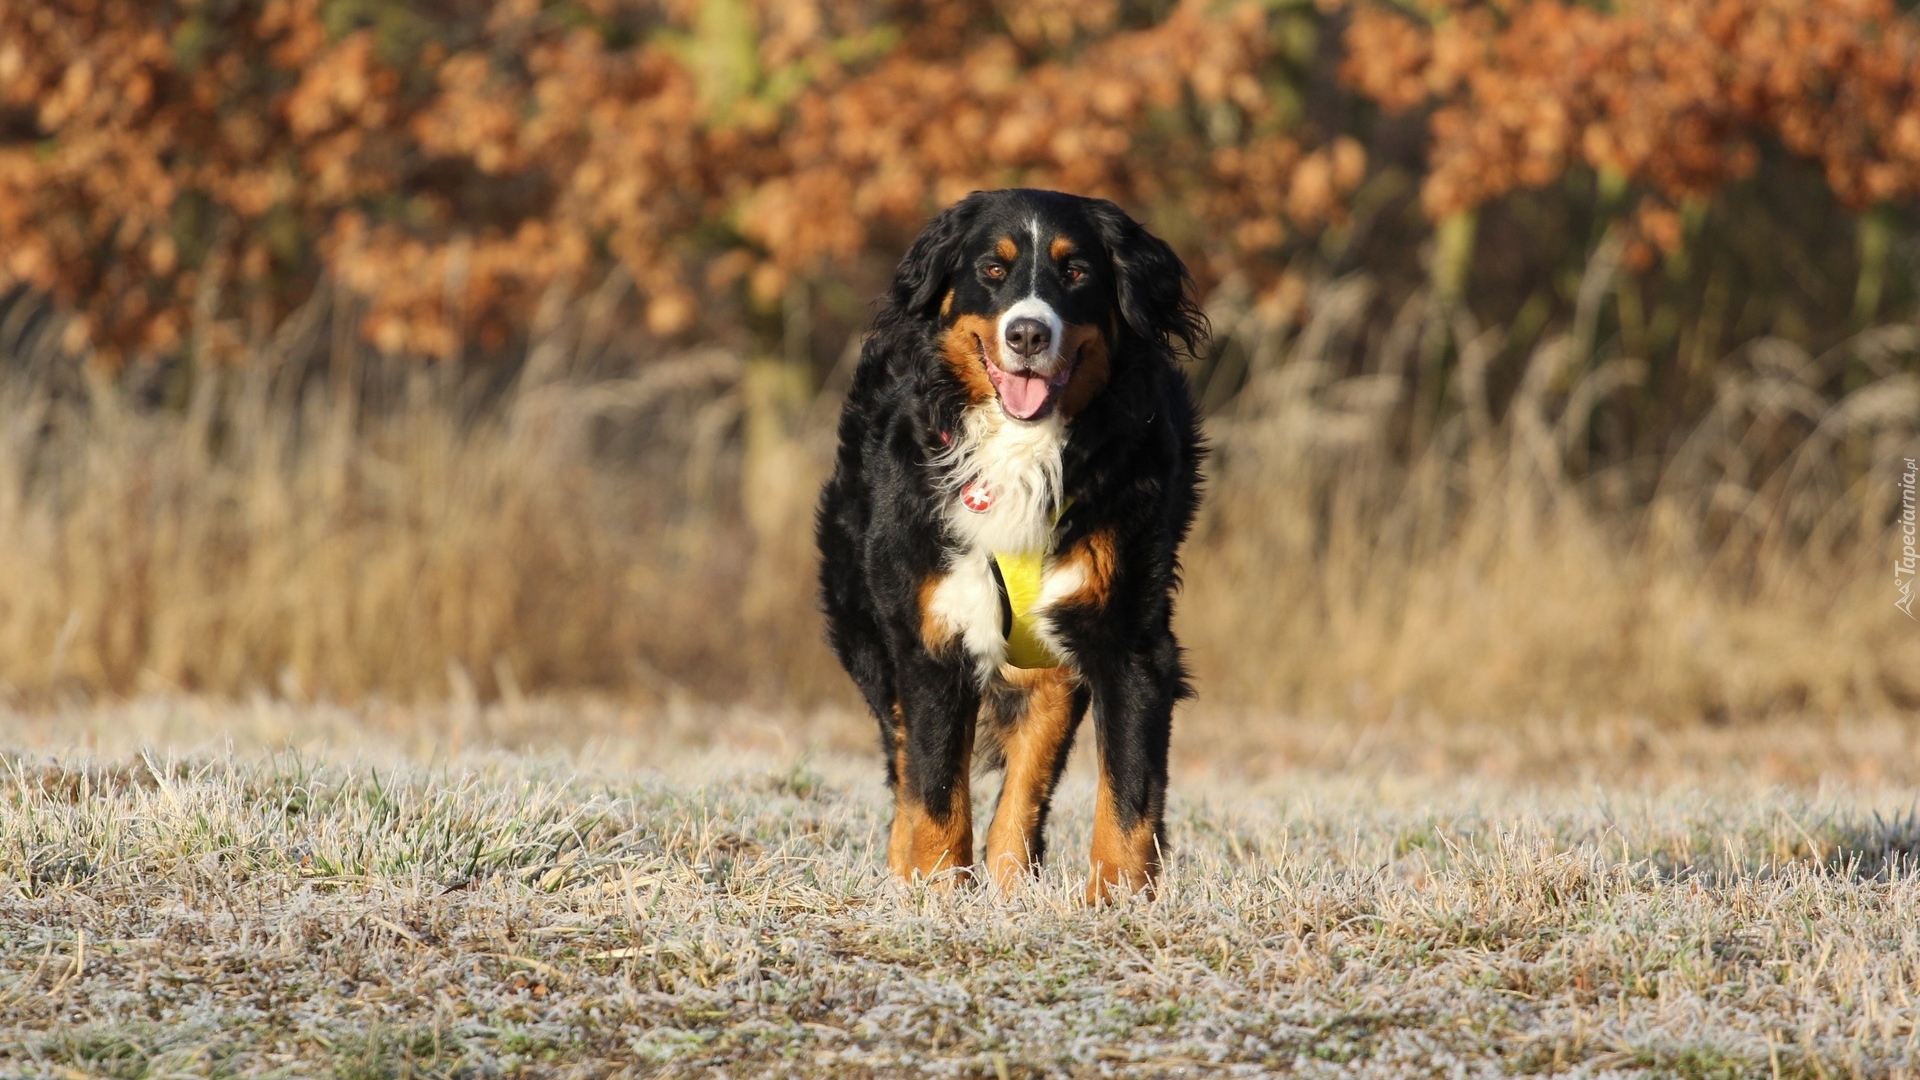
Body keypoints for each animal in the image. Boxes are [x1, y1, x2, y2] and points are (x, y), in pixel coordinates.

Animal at [817, 187, 1205, 899]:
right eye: (992, 270)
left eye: (1076, 271)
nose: (1028, 333)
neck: (1021, 448)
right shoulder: (932, 631)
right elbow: (936, 791)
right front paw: (935, 896)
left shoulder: (1129, 636)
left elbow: (1127, 797)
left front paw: (1118, 904)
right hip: (870, 628)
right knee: (906, 761)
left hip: (1045, 665)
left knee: (1026, 783)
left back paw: (1008, 883)